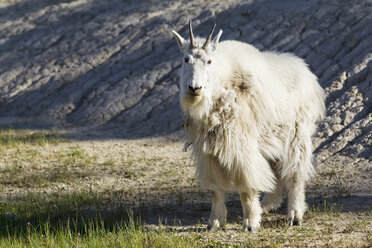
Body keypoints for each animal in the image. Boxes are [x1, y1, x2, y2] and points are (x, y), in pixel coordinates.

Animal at [172, 20, 326, 232]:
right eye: (186, 59)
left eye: (209, 61)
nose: (194, 88)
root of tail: (308, 74)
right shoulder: (208, 151)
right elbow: (215, 189)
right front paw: (215, 222)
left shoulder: (241, 148)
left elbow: (246, 187)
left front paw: (251, 223)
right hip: (272, 140)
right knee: (276, 173)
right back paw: (267, 205)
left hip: (297, 136)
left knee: (295, 174)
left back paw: (295, 215)